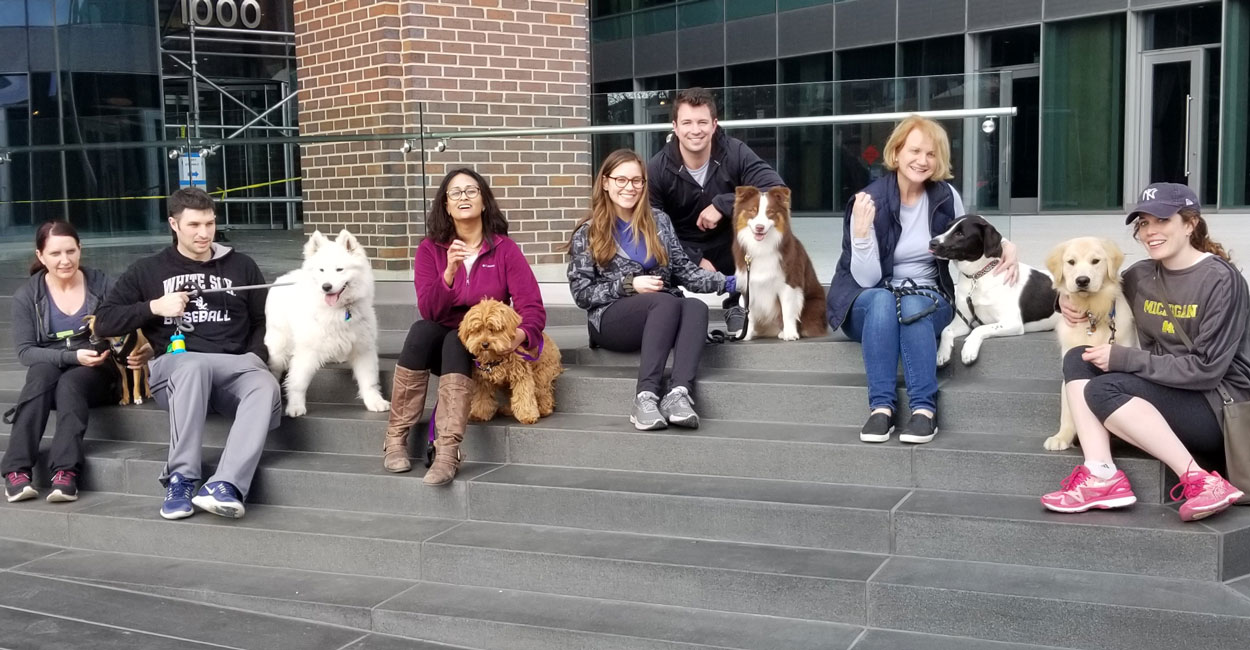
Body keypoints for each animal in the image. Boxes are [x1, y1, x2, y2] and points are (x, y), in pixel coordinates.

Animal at [260, 231, 385, 420]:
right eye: (321, 270)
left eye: (339, 269)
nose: (326, 286)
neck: (339, 310)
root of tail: (282, 278)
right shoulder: (307, 351)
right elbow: (298, 382)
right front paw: (295, 407)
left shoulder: (363, 348)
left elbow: (368, 380)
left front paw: (375, 402)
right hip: (279, 346)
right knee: (274, 367)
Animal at [930, 215, 1055, 362]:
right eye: (947, 227)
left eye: (959, 234)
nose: (931, 243)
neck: (977, 277)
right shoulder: (963, 321)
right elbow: (946, 330)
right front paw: (942, 353)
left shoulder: (1013, 322)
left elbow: (979, 329)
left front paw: (969, 349)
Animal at [1040, 238, 1140, 452]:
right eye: (1071, 262)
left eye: (1096, 261)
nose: (1082, 281)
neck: (1091, 311)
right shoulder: (1069, 362)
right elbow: (1067, 409)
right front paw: (1062, 437)